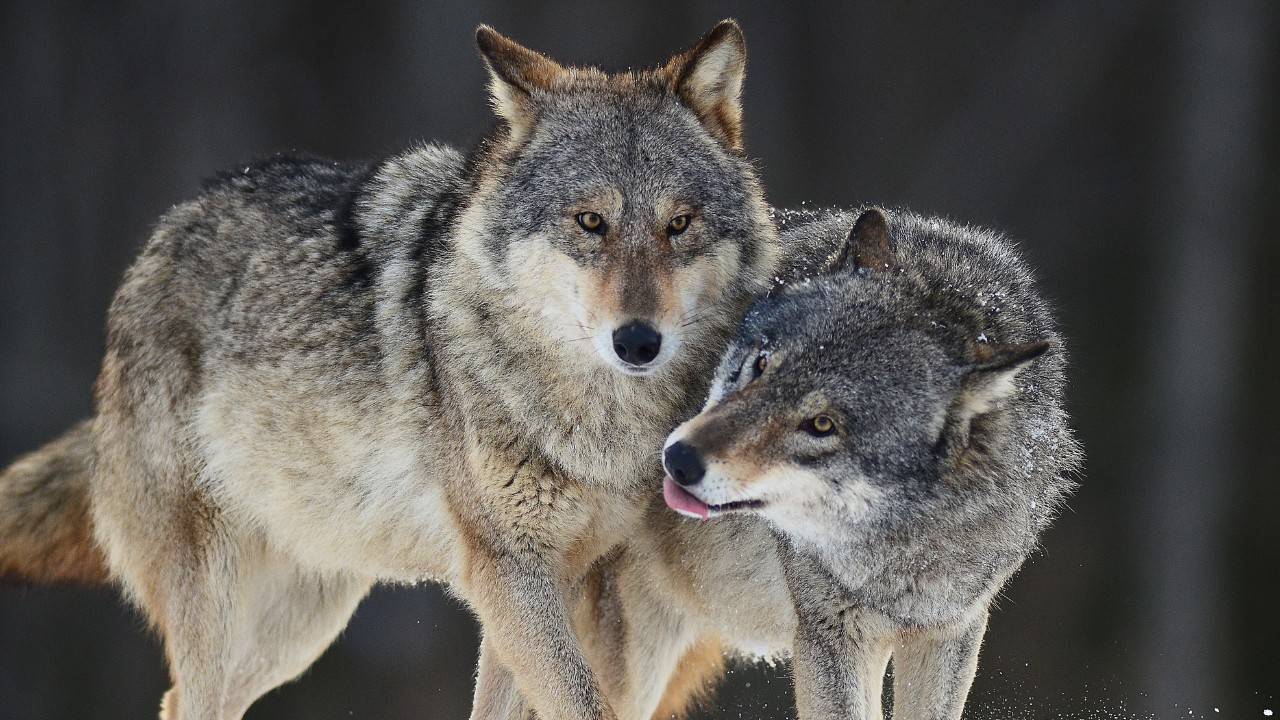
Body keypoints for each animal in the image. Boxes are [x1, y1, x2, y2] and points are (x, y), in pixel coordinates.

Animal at [0, 19, 778, 712]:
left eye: (679, 225)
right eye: (591, 222)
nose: (639, 342)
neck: (593, 419)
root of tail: (162, 235)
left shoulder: (543, 581)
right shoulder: (509, 570)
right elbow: (585, 705)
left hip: (300, 624)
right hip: (221, 604)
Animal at [570, 206, 1080, 717]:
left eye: (821, 424)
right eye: (760, 365)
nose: (678, 459)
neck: (906, 547)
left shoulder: (951, 630)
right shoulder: (830, 633)